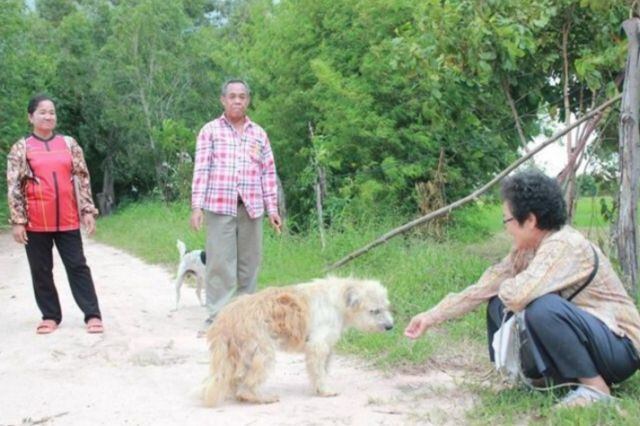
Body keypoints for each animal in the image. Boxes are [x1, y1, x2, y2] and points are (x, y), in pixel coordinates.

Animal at [202, 276, 392, 406]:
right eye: (374, 311)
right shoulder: (318, 346)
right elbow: (319, 371)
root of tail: (225, 318)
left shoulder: (324, 348)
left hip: (239, 354)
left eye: (386, 308)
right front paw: (325, 391)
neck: (339, 299)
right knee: (248, 383)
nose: (391, 326)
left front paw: (318, 388)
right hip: (262, 352)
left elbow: (321, 370)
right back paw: (259, 397)